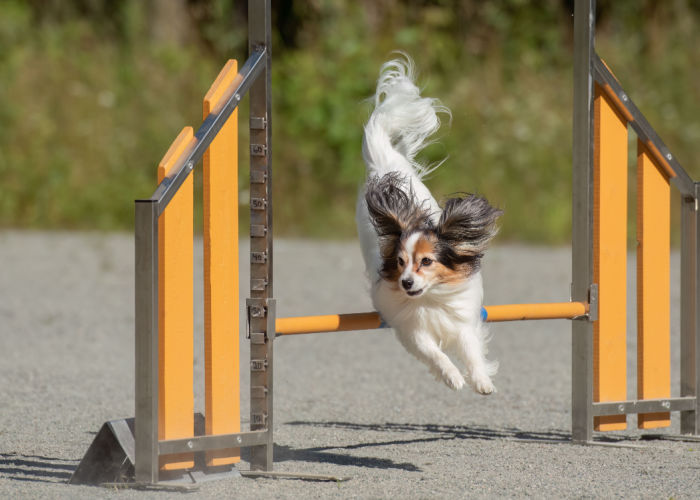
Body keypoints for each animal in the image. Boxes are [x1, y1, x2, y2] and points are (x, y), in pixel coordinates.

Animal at [356, 56, 504, 394]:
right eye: (400, 262)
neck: (432, 297)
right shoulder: (413, 330)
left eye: (426, 262)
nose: (406, 282)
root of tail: (385, 164)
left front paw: (481, 380)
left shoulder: (462, 320)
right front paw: (452, 377)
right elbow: (435, 353)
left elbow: (471, 349)